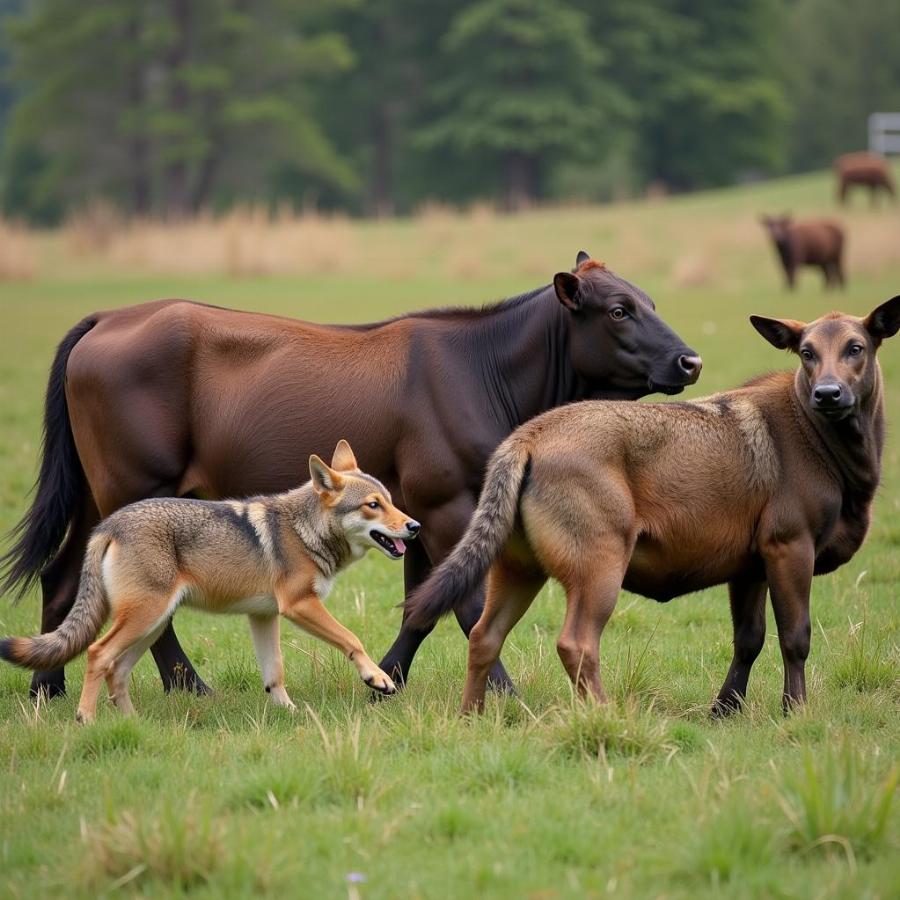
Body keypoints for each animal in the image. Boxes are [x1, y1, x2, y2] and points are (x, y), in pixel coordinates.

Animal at [1, 250, 704, 700]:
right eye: (618, 310)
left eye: (648, 301)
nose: (690, 360)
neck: (481, 368)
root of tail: (109, 317)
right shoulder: (448, 504)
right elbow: (464, 603)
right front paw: (500, 691)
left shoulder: (414, 514)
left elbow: (422, 605)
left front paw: (387, 682)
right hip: (135, 488)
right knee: (149, 608)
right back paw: (189, 687)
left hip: (96, 497)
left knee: (64, 578)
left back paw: (46, 686)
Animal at [408, 296, 900, 716]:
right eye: (806, 352)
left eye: (856, 347)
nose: (828, 393)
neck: (829, 449)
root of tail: (525, 440)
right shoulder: (789, 544)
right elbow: (795, 638)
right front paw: (793, 711)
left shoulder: (750, 565)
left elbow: (748, 639)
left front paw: (724, 710)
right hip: (599, 561)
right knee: (576, 644)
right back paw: (606, 715)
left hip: (517, 565)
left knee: (483, 636)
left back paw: (471, 716)